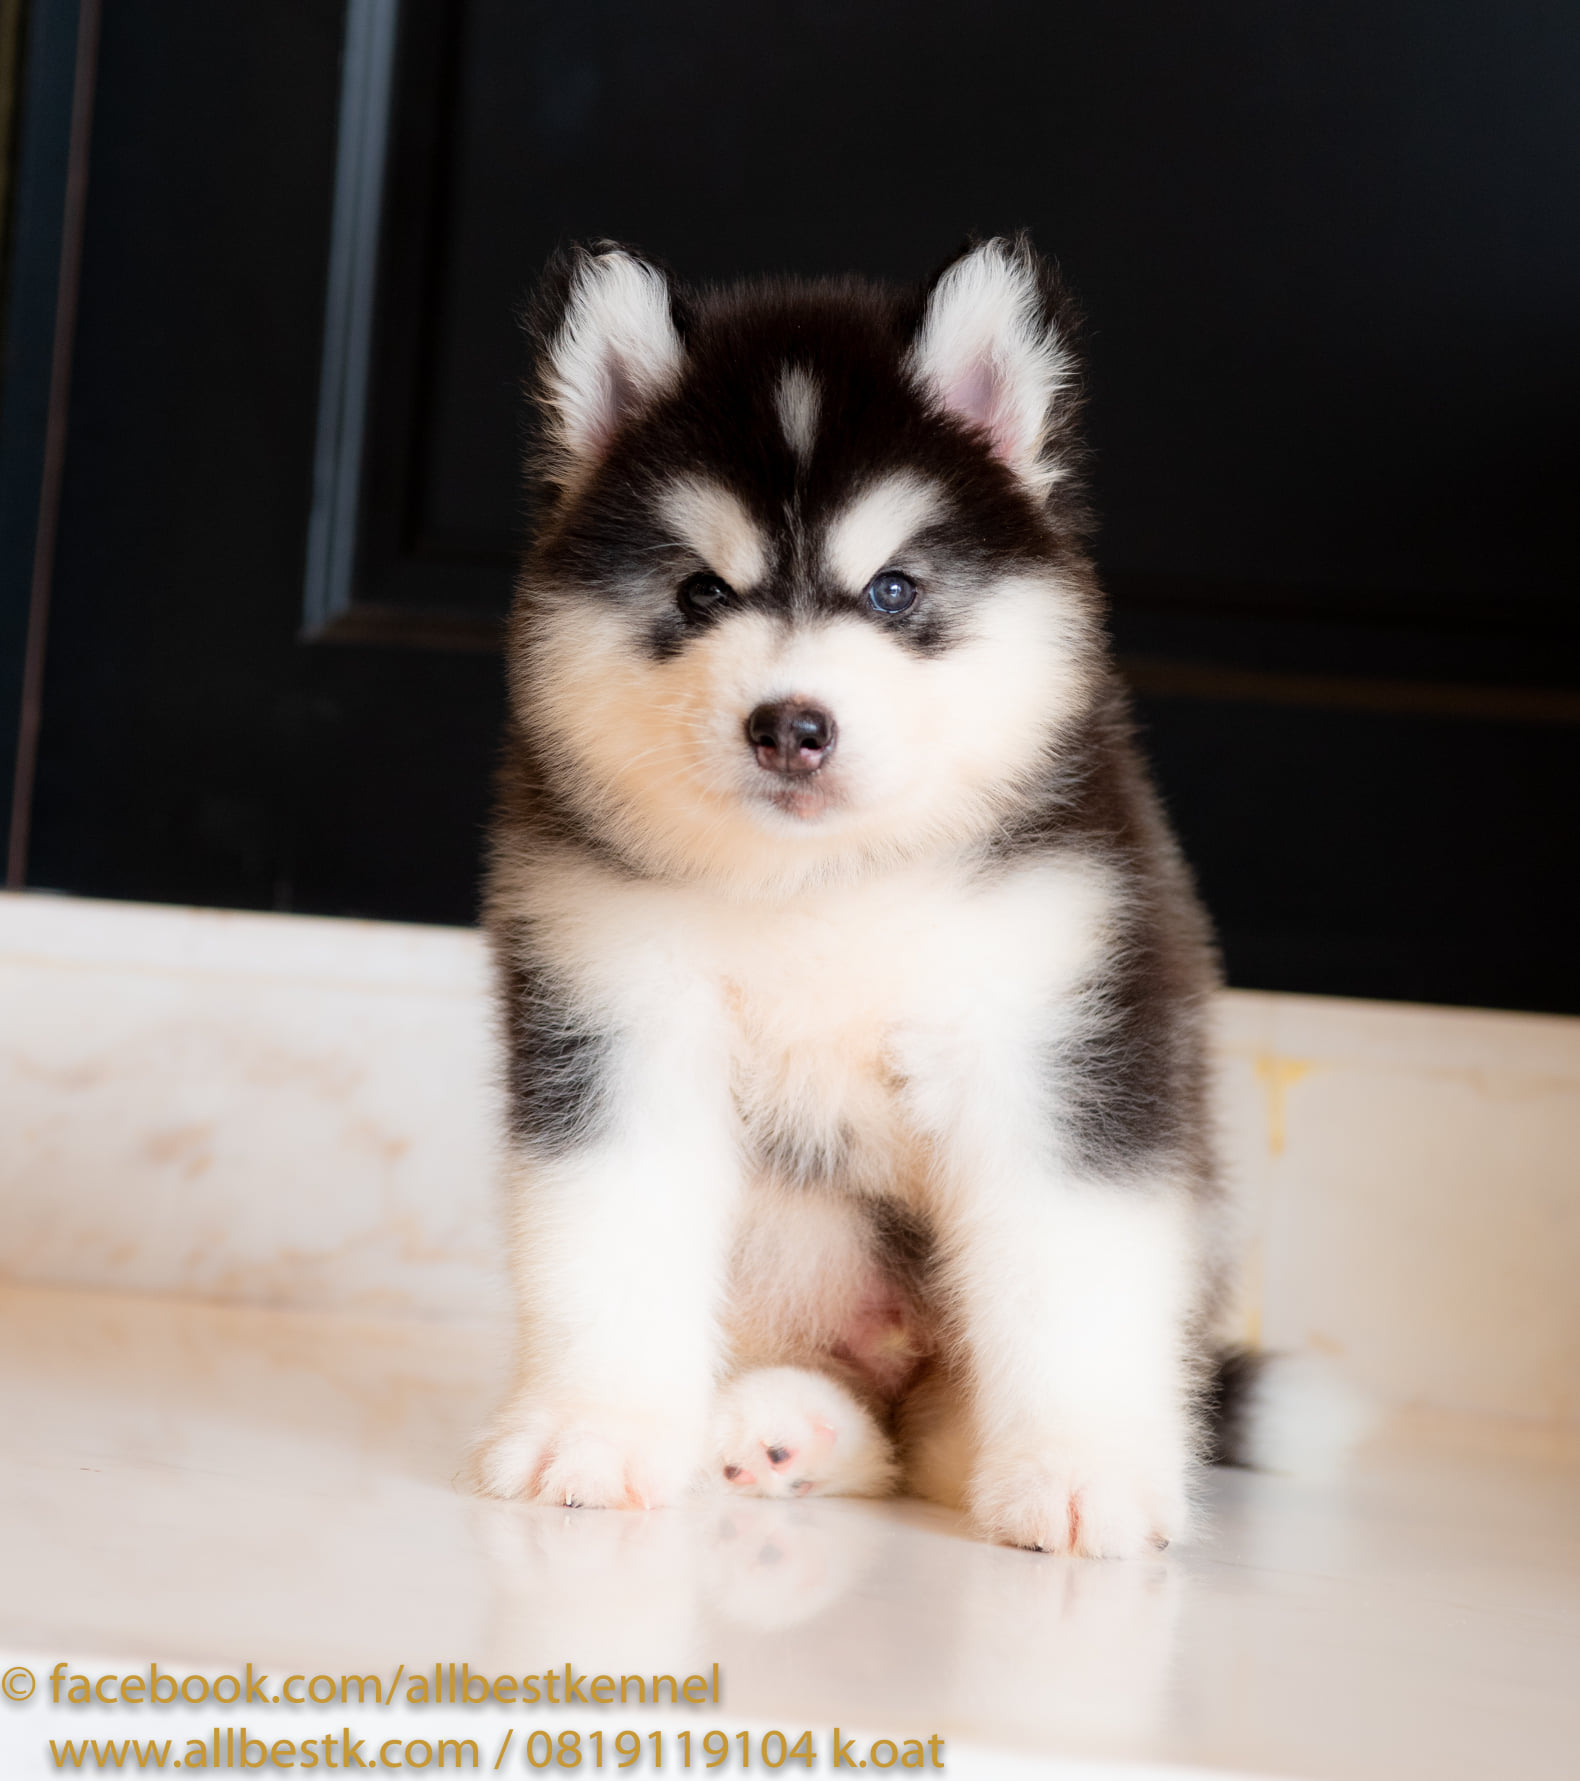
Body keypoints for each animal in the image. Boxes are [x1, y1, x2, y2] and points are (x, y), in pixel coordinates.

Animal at [475, 234, 1254, 1557]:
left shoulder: (1053, 1031)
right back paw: (782, 1426)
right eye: (699, 592)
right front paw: (595, 1429)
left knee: (938, 1435)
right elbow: (606, 1236)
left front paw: (1080, 1468)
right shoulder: (615, 1016)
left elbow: (1071, 1270)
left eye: (892, 590)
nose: (789, 724)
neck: (822, 882)